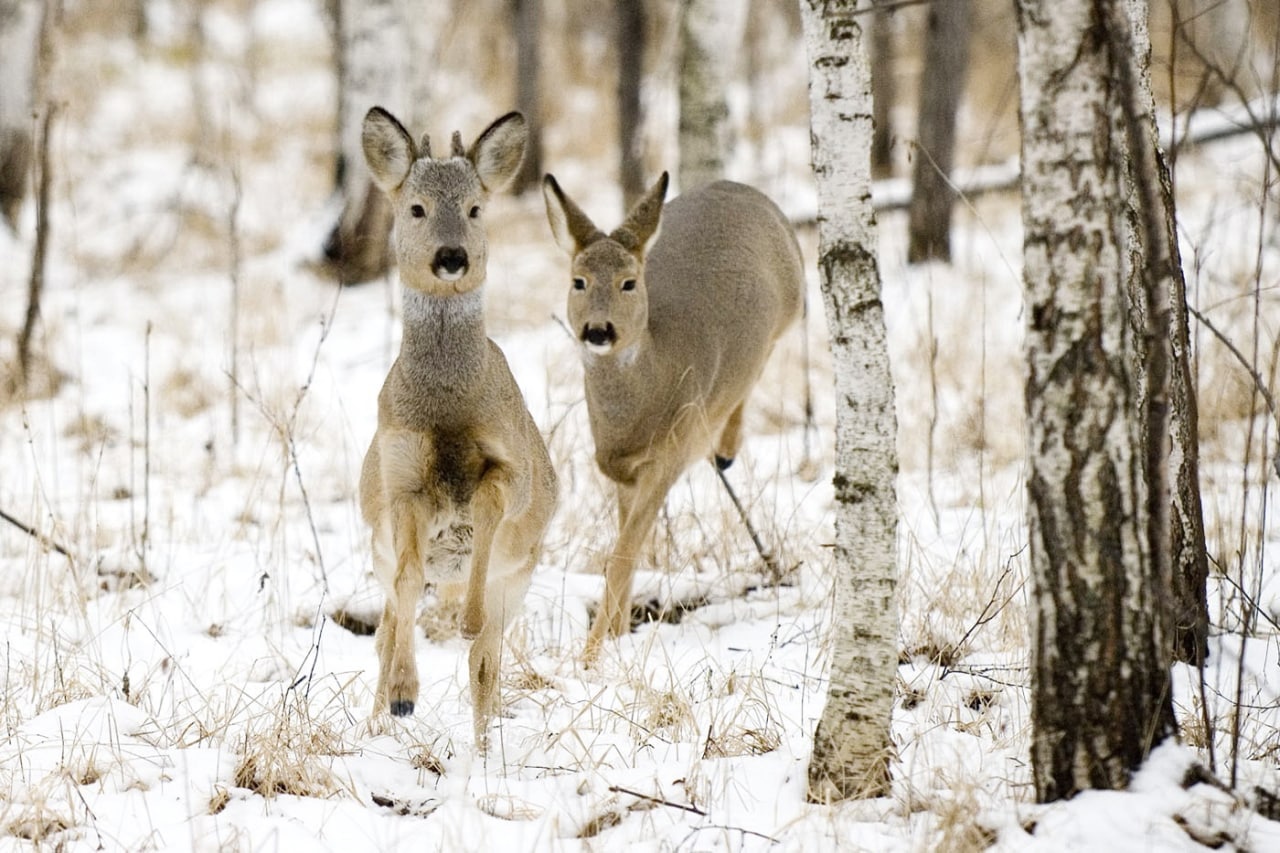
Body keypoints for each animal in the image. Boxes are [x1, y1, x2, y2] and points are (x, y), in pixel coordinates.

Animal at [360, 104, 560, 742]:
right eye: (416, 208)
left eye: (475, 208)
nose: (452, 257)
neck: (447, 409)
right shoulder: (400, 479)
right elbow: (405, 587)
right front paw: (404, 695)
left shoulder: (512, 467)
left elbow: (489, 508)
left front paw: (467, 618)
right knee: (385, 629)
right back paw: (379, 720)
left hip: (522, 574)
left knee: (486, 662)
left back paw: (483, 743)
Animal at [545, 172, 803, 660]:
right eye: (578, 281)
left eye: (629, 282)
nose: (598, 330)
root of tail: (740, 186)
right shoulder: (621, 474)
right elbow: (627, 552)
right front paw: (616, 636)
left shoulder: (668, 457)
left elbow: (622, 556)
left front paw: (590, 656)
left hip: (791, 309)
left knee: (760, 367)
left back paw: (725, 449)